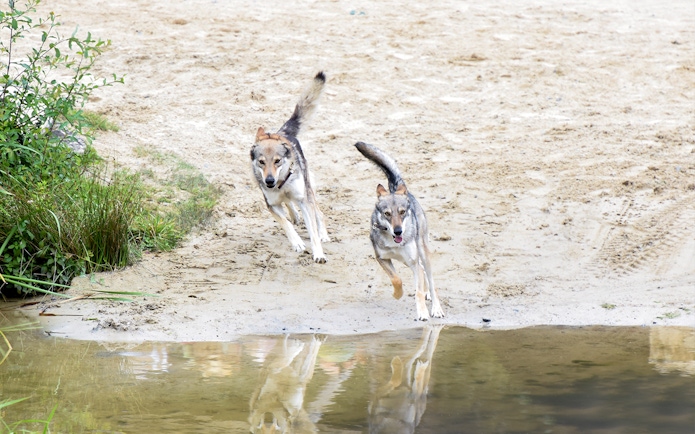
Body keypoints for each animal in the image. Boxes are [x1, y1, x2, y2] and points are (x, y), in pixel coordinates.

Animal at [250, 72, 329, 263]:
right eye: (262, 162)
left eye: (277, 161)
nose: (269, 181)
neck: (281, 183)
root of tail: (283, 133)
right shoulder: (271, 205)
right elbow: (285, 223)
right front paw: (297, 243)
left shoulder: (303, 201)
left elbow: (313, 232)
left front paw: (319, 254)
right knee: (288, 205)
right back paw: (294, 216)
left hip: (309, 192)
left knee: (319, 214)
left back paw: (323, 234)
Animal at [354, 142, 444, 320]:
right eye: (387, 214)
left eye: (402, 212)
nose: (398, 232)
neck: (393, 243)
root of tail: (397, 188)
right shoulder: (382, 258)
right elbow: (396, 279)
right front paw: (398, 294)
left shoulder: (412, 262)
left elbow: (417, 291)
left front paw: (422, 312)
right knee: (423, 274)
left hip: (422, 252)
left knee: (430, 280)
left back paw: (435, 307)